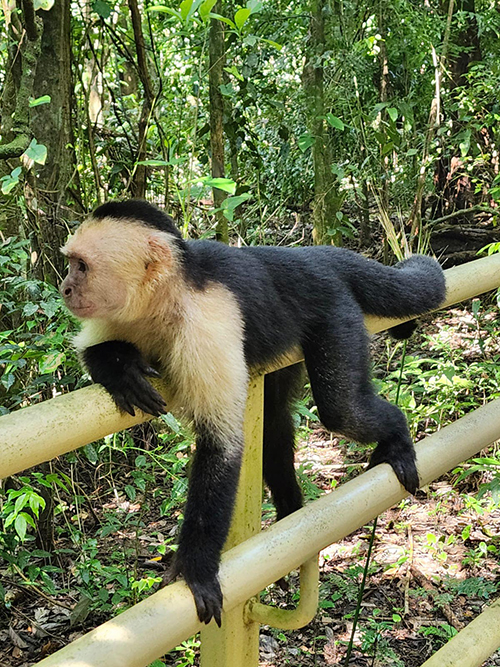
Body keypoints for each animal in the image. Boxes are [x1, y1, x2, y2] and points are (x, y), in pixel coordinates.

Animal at [60, 201, 448, 628]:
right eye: (71, 263)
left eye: (82, 266)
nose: (64, 287)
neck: (161, 299)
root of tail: (310, 255)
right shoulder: (117, 315)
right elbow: (90, 350)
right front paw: (122, 368)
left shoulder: (205, 323)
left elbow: (223, 446)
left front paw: (195, 568)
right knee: (275, 422)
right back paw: (290, 511)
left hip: (334, 314)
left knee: (341, 409)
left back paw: (396, 436)